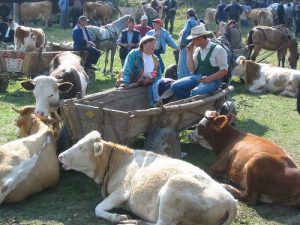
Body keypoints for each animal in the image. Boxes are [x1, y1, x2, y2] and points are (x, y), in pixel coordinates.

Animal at [58, 131, 237, 224]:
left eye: (82, 147)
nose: (60, 156)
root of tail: (230, 201)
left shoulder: (122, 191)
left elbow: (97, 208)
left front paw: (116, 216)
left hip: (172, 191)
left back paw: (131, 221)